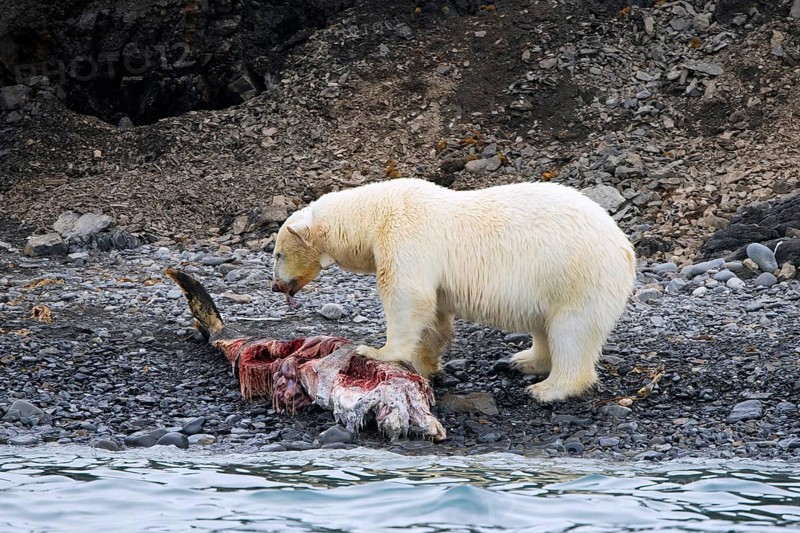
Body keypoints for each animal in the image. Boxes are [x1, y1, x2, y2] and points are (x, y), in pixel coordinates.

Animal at [271, 178, 636, 402]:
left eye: (277, 253)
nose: (276, 285)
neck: (374, 216)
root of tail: (625, 246)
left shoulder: (405, 236)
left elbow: (408, 296)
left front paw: (375, 351)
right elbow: (434, 315)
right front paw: (425, 364)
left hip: (576, 274)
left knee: (572, 331)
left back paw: (549, 388)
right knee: (545, 325)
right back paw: (522, 361)